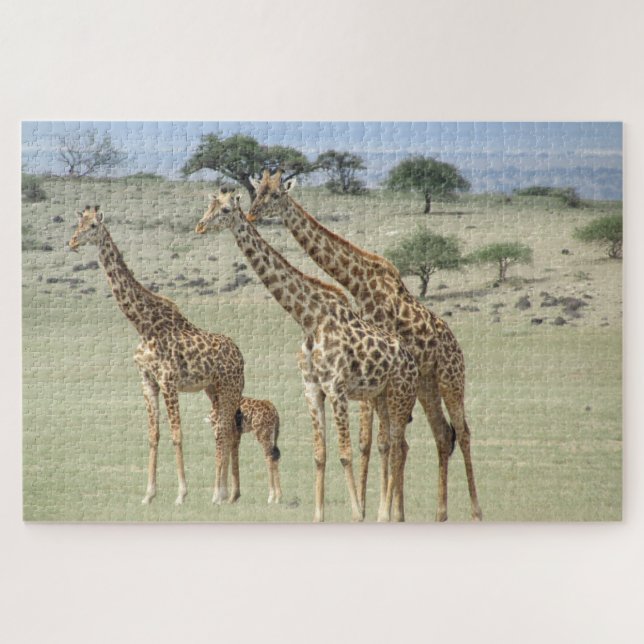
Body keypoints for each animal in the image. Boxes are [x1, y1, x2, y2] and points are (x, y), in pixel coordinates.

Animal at [69, 206, 245, 506]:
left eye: (92, 226)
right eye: (78, 223)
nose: (72, 241)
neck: (143, 325)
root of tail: (241, 355)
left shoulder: (168, 381)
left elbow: (176, 434)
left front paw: (181, 494)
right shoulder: (147, 381)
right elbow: (154, 435)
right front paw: (149, 494)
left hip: (231, 386)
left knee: (224, 429)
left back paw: (219, 494)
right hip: (213, 388)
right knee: (226, 430)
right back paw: (225, 493)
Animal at [195, 188, 418, 522]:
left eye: (224, 210)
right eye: (208, 206)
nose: (200, 226)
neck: (308, 318)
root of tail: (410, 358)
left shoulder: (336, 389)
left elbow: (344, 453)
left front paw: (357, 513)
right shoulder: (312, 389)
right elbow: (319, 455)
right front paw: (318, 515)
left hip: (400, 395)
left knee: (398, 446)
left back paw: (386, 514)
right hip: (380, 396)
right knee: (392, 444)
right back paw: (390, 513)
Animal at [248, 170, 482, 522]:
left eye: (276, 195)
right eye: (258, 190)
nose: (252, 214)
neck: (358, 281)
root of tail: (457, 346)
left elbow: (378, 441)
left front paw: (376, 509)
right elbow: (369, 441)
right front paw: (374, 506)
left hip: (450, 379)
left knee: (462, 432)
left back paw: (475, 511)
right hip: (426, 384)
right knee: (443, 434)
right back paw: (439, 512)